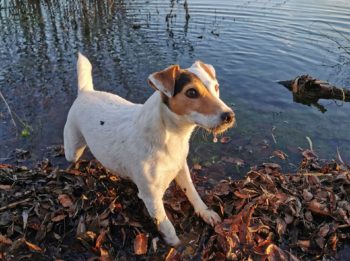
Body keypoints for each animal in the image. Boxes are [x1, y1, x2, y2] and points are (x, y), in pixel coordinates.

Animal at [64, 53, 237, 246]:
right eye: (191, 92)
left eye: (216, 87)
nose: (229, 116)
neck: (171, 136)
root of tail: (85, 91)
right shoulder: (151, 197)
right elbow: (166, 225)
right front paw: (176, 245)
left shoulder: (181, 169)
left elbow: (192, 193)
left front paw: (205, 213)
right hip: (73, 150)